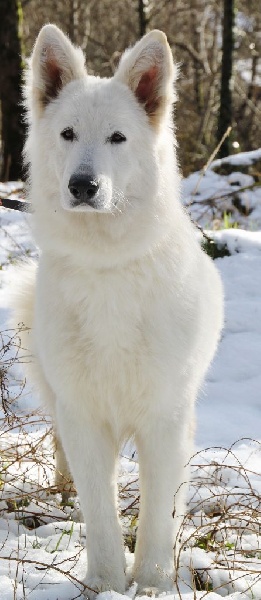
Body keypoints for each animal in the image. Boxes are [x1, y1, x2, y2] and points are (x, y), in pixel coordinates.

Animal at [12, 23, 222, 596]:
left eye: (117, 138)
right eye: (67, 134)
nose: (83, 186)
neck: (107, 266)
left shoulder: (165, 419)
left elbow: (157, 515)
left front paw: (151, 583)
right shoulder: (84, 414)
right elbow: (102, 514)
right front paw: (105, 581)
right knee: (64, 456)